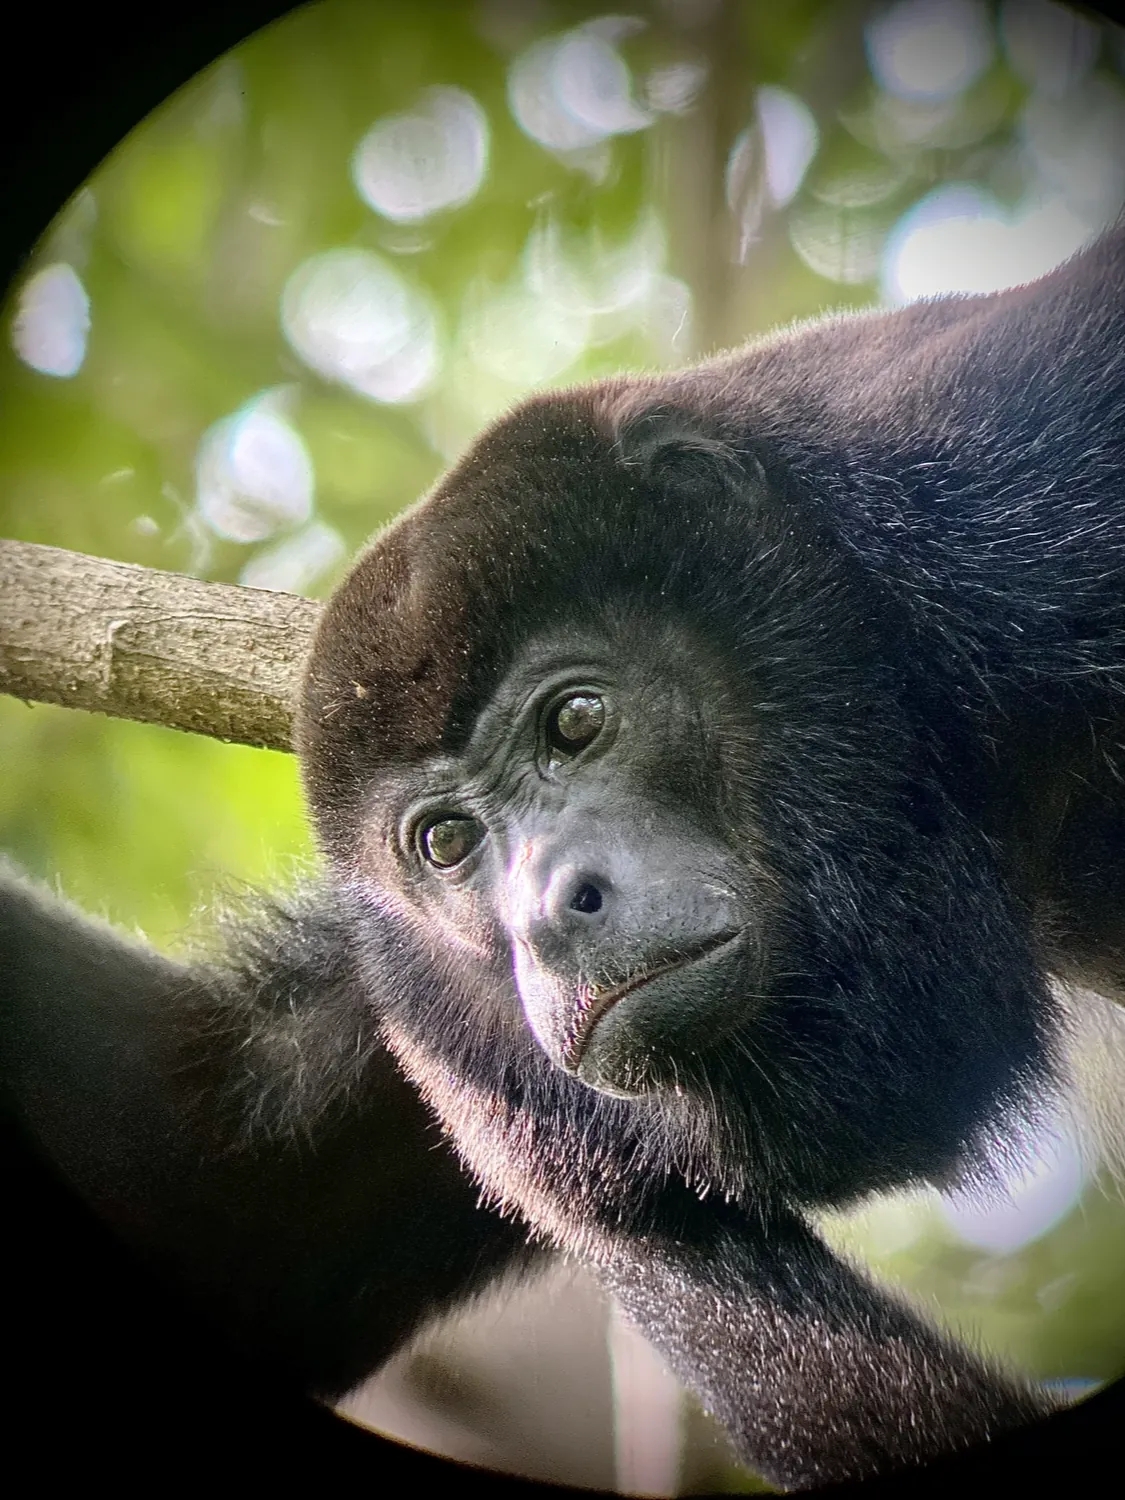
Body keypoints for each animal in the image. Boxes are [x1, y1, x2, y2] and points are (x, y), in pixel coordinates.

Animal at [2, 222, 1125, 1488]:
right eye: (447, 841)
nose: (550, 912)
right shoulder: (424, 1002)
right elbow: (217, 1197)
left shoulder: (1005, 485)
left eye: (576, 721)